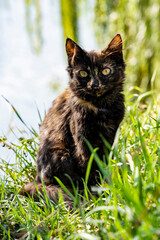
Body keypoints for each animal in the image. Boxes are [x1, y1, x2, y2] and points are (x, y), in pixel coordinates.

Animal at [21, 33, 125, 202]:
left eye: (105, 71)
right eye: (83, 73)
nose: (94, 84)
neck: (100, 107)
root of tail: (37, 180)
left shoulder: (109, 136)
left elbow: (103, 162)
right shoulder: (83, 141)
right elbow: (89, 165)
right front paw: (96, 190)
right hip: (61, 152)